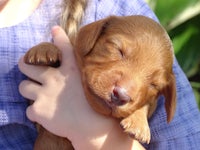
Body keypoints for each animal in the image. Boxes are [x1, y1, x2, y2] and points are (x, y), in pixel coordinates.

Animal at [24, 15, 176, 149]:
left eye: (154, 85)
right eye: (118, 50)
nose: (120, 95)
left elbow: (146, 105)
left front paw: (139, 123)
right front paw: (45, 49)